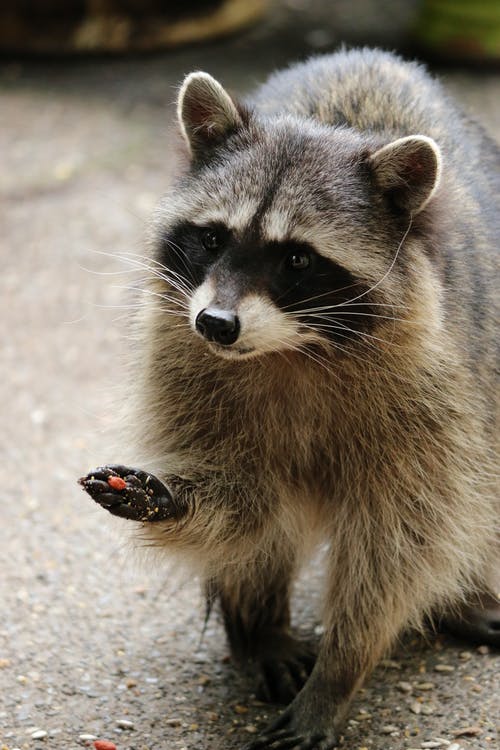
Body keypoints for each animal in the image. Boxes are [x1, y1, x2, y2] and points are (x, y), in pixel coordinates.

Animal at [80, 50, 498, 748]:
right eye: (213, 239)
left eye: (298, 260)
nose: (216, 324)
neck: (292, 350)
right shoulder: (178, 356)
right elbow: (246, 502)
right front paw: (183, 505)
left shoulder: (437, 390)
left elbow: (402, 540)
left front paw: (341, 671)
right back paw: (259, 625)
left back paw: (461, 596)